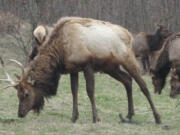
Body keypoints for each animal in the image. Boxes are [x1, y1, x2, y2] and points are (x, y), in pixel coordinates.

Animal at [0, 16, 160, 123]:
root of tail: (128, 34)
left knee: (143, 85)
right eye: (17, 94)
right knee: (127, 80)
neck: (61, 50)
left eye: (26, 94)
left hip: (128, 59)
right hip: (111, 67)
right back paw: (128, 115)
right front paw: (74, 117)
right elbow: (74, 91)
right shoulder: (73, 69)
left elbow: (90, 90)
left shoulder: (87, 65)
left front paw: (96, 118)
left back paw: (157, 118)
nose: (20, 113)